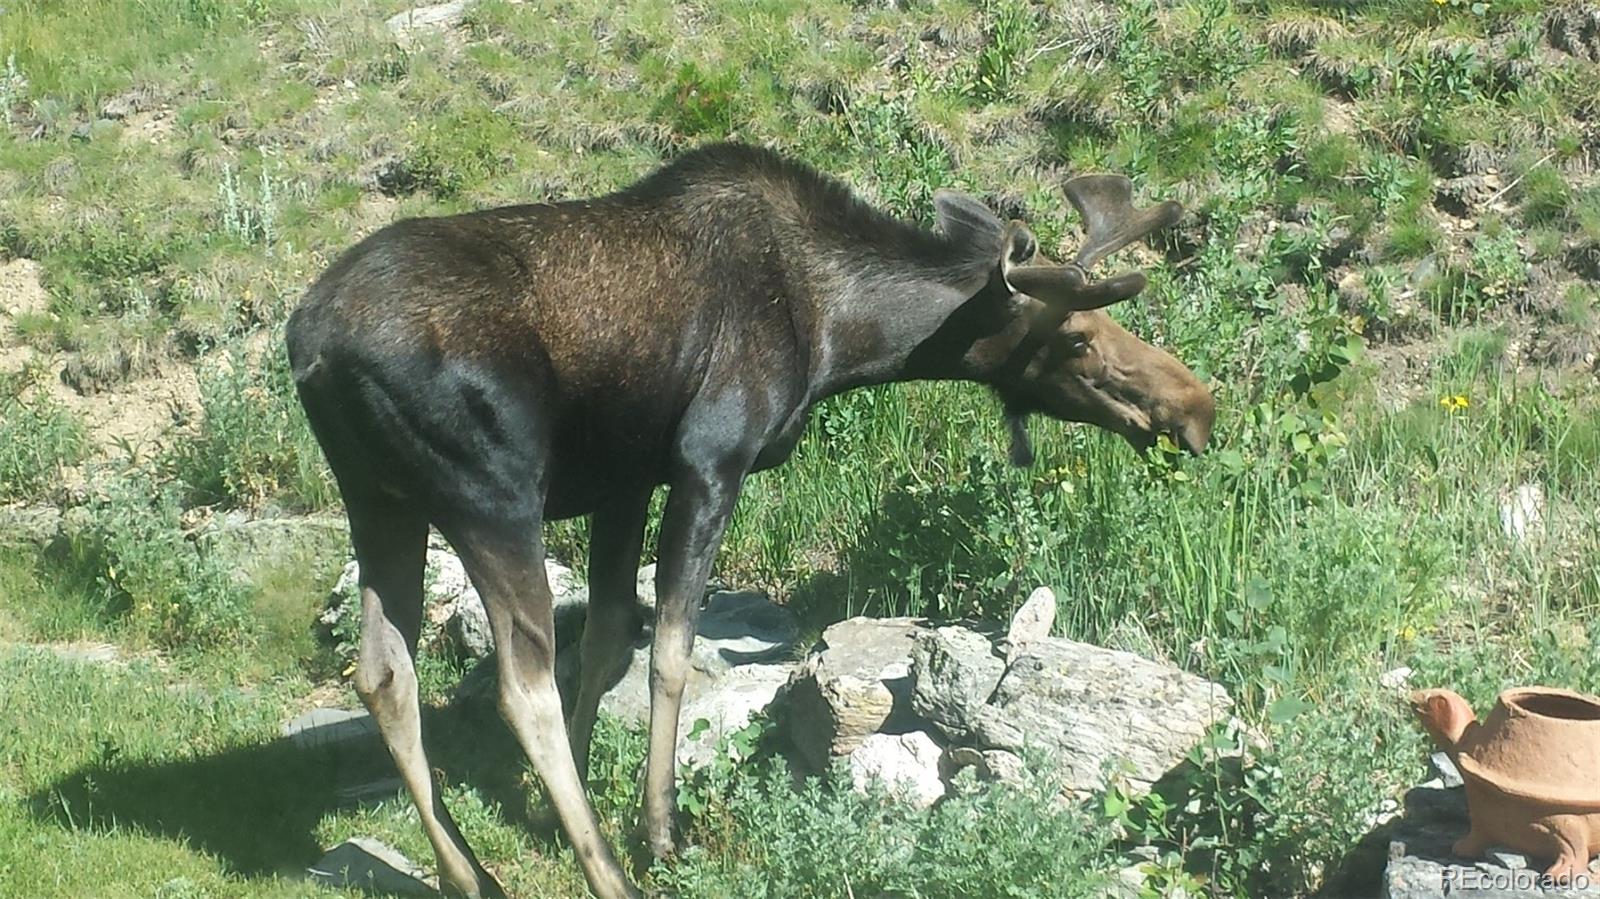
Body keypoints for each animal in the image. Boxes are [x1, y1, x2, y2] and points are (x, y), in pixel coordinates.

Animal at [284, 141, 1209, 895]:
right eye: (1079, 337)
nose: (1194, 406)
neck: (841, 335)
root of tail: (309, 345)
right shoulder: (710, 460)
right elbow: (670, 649)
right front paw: (658, 828)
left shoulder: (628, 481)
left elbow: (611, 637)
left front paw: (555, 815)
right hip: (490, 496)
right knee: (519, 680)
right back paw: (609, 873)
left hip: (379, 502)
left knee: (383, 672)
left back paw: (471, 872)